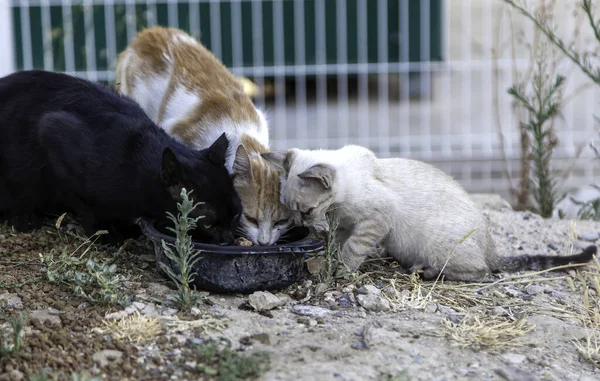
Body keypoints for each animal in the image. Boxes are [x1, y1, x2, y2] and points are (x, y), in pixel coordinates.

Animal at [0, 70, 241, 243]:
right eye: (208, 224)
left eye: (236, 214)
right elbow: (86, 205)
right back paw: (25, 219)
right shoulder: (52, 130)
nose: (229, 239)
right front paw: (104, 233)